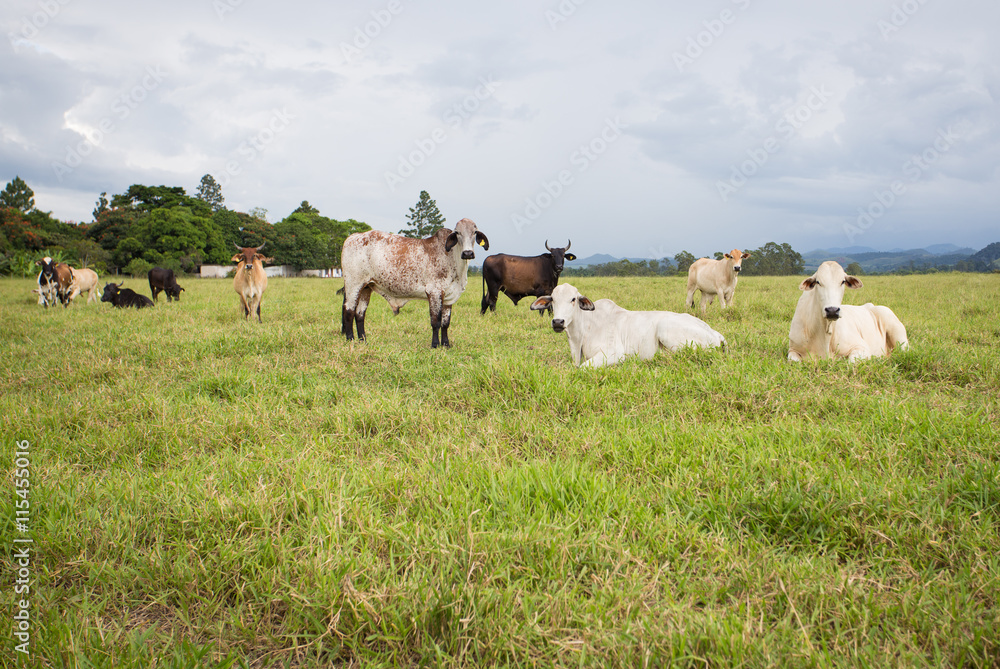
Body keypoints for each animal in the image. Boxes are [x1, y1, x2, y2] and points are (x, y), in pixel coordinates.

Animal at [341, 218, 489, 348]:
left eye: (475, 232)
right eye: (457, 232)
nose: (468, 253)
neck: (453, 259)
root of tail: (353, 237)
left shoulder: (449, 297)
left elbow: (445, 323)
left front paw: (446, 345)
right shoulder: (434, 292)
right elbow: (436, 321)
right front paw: (435, 345)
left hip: (366, 287)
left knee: (360, 315)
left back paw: (363, 341)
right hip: (353, 284)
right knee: (349, 311)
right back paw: (350, 340)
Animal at [530, 283, 726, 367]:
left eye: (573, 299)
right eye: (552, 299)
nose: (558, 322)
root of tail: (716, 334)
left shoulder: (614, 353)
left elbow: (583, 368)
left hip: (666, 329)